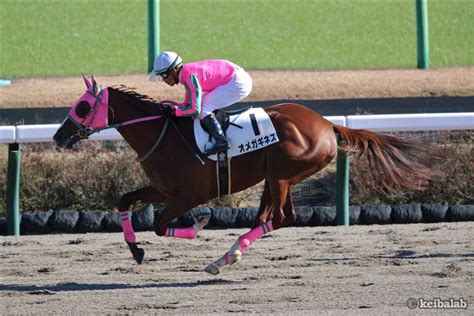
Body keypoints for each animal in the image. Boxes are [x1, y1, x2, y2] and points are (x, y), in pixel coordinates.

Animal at [53, 76, 432, 274]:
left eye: (82, 106)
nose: (58, 136)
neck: (162, 134)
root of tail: (327, 124)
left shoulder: (190, 194)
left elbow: (161, 224)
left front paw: (200, 223)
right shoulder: (162, 189)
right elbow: (124, 201)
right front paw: (136, 251)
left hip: (282, 174)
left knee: (282, 216)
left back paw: (225, 256)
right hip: (275, 177)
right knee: (271, 217)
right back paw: (227, 256)